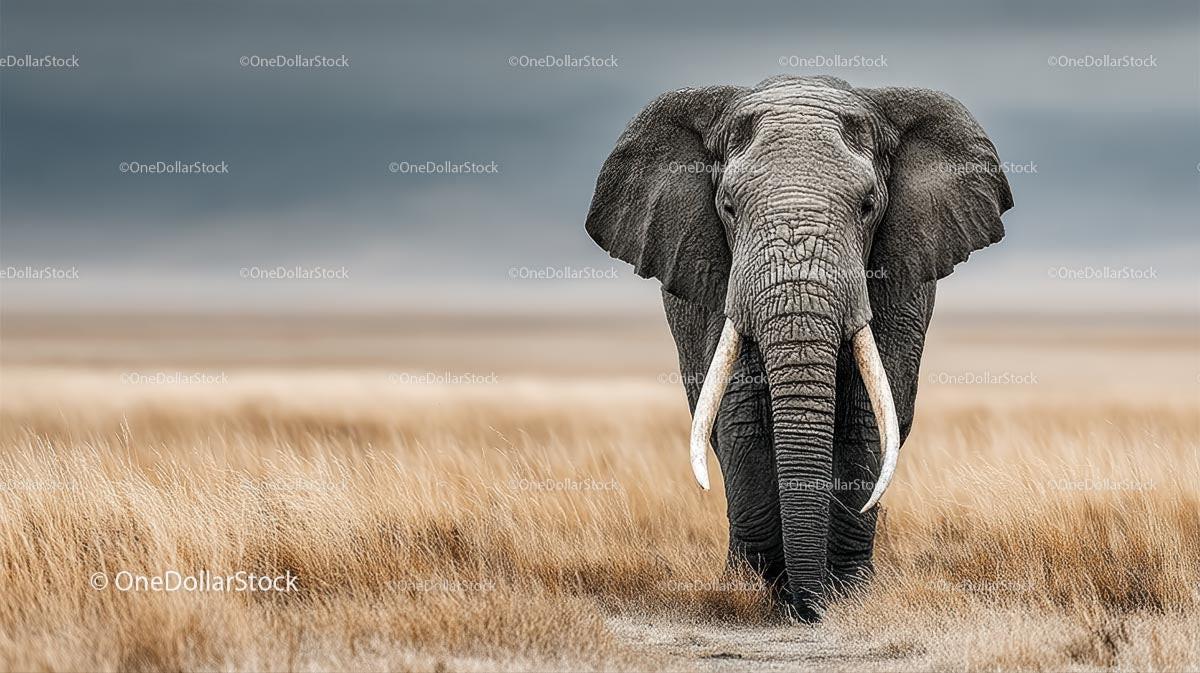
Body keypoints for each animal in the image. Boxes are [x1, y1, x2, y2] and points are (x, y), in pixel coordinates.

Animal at [584, 75, 1012, 621]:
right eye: (728, 207)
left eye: (868, 206)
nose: (807, 609)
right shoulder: (717, 278)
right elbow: (741, 411)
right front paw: (755, 590)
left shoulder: (901, 278)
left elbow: (867, 415)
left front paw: (847, 593)